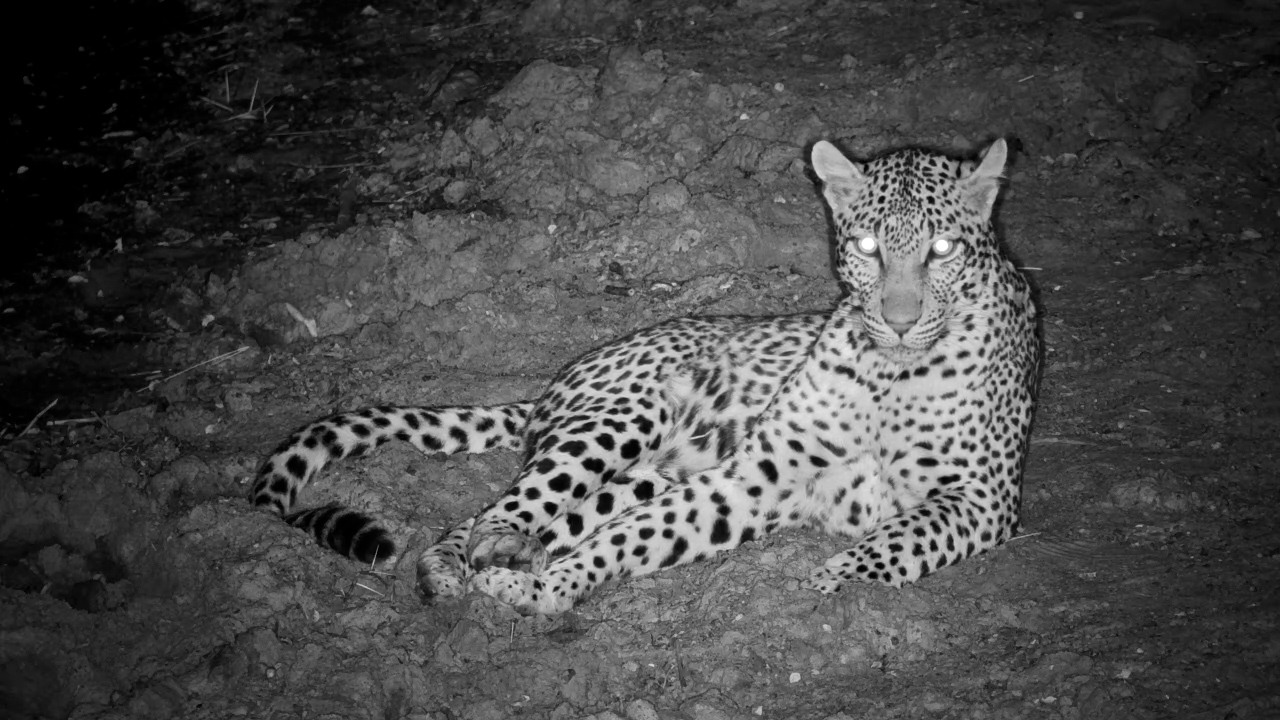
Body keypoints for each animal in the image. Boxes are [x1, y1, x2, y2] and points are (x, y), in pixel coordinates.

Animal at [250, 137, 1040, 615]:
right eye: (870, 246)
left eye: (942, 249)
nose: (900, 319)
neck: (889, 371)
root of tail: (559, 378)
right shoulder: (754, 475)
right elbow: (641, 537)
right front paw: (541, 588)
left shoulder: (980, 500)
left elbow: (891, 544)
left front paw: (831, 580)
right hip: (621, 422)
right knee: (497, 511)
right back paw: (478, 561)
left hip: (643, 471)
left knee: (520, 519)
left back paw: (483, 565)